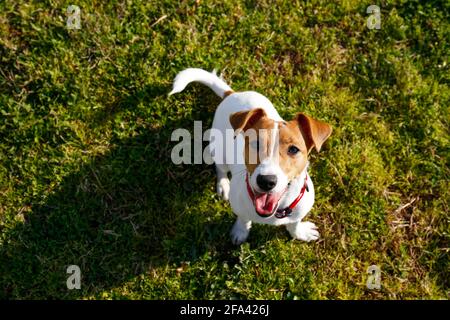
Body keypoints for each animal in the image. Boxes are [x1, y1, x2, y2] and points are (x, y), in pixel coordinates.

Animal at [169, 68, 330, 245]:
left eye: (293, 149)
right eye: (255, 144)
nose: (266, 181)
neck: (275, 211)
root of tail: (231, 94)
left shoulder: (298, 211)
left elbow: (294, 223)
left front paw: (300, 233)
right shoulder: (240, 208)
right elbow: (243, 218)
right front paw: (240, 231)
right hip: (217, 150)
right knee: (220, 168)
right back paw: (223, 184)